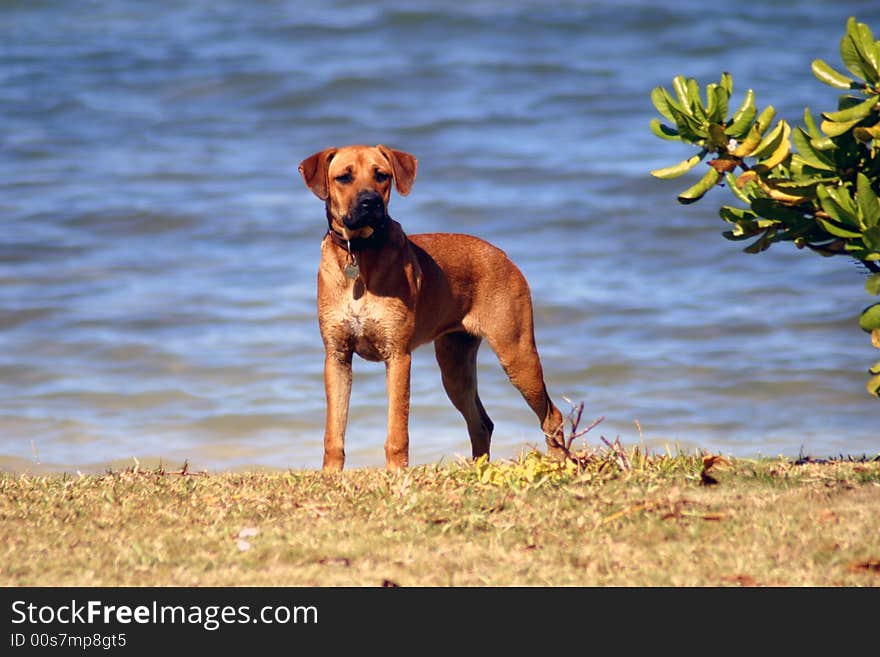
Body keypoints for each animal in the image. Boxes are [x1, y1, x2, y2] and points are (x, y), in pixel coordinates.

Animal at [300, 145, 568, 468]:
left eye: (382, 175)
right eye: (343, 177)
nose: (370, 202)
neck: (359, 254)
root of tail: (502, 255)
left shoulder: (398, 356)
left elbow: (397, 430)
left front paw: (396, 472)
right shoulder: (337, 357)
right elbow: (334, 433)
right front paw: (331, 474)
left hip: (516, 353)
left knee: (552, 415)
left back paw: (559, 462)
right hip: (455, 367)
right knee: (481, 424)